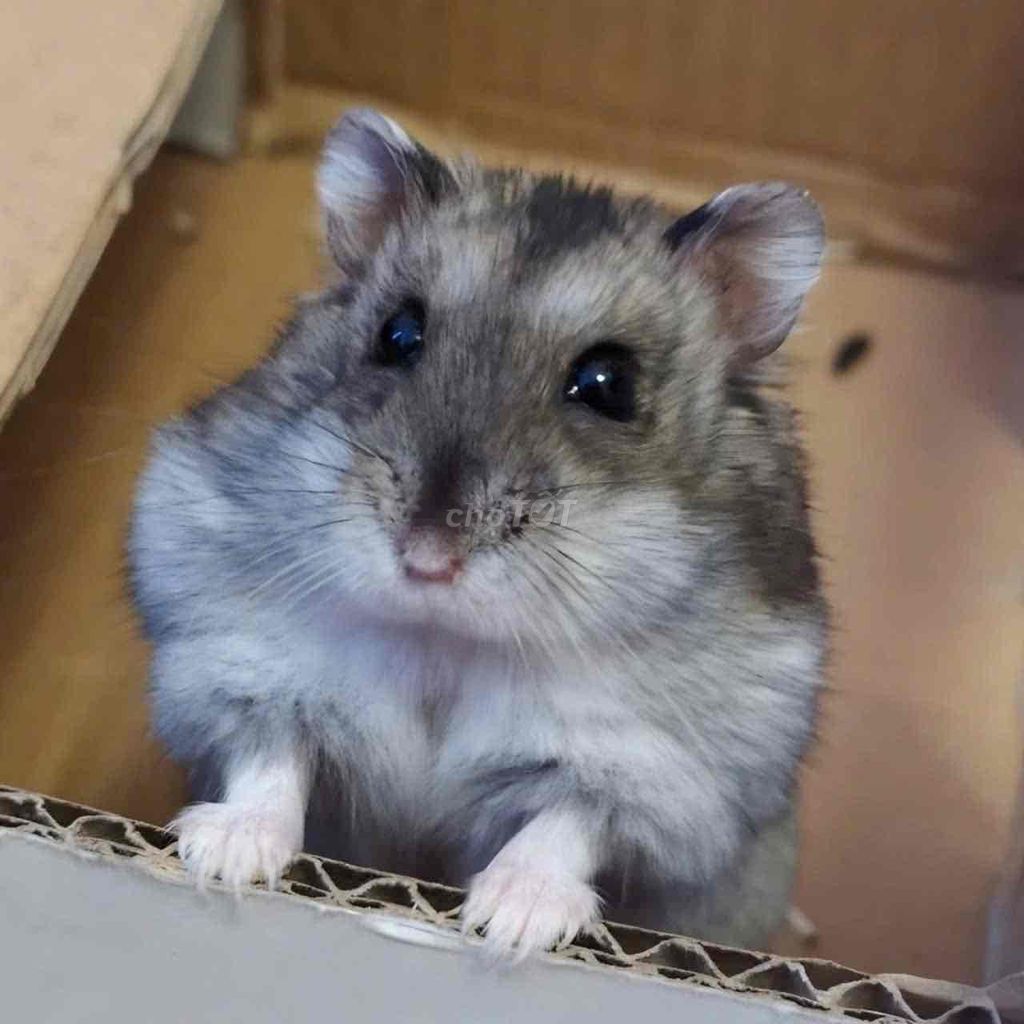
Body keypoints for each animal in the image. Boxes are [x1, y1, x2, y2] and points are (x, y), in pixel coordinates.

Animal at [129, 108, 828, 957]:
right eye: (397, 334)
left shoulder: (643, 766)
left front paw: (508, 926)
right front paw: (220, 858)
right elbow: (274, 760)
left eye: (610, 384)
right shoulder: (253, 668)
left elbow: (563, 824)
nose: (427, 560)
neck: (448, 642)